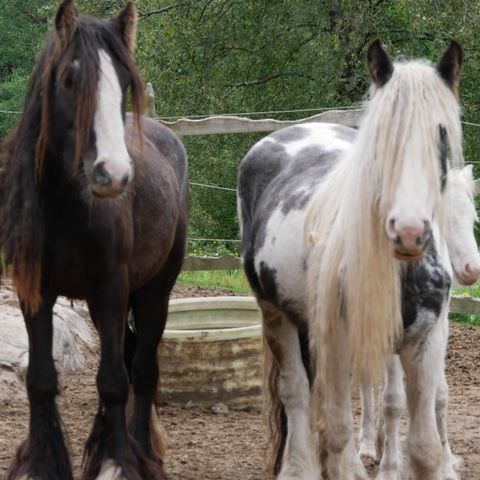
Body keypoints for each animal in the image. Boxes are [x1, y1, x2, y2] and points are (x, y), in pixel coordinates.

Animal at [0, 1, 188, 478]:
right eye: (69, 79)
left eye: (124, 82)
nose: (113, 174)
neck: (68, 205)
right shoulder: (36, 292)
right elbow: (41, 379)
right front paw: (41, 463)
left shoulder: (112, 287)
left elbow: (114, 380)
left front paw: (117, 462)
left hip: (154, 291)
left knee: (142, 368)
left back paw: (146, 450)